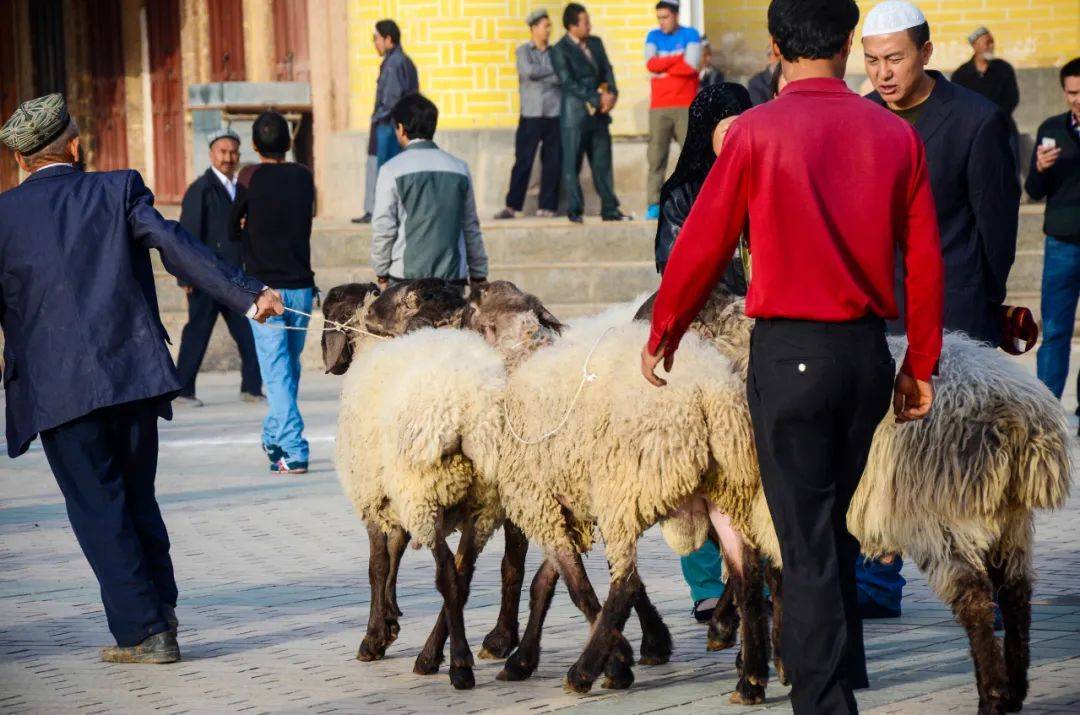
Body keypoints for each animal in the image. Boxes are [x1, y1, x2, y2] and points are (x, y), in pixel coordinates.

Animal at [635, 287, 1067, 715]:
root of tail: (1021, 421)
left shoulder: (765, 502)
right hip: (1007, 516)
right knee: (1015, 592)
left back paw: (991, 697)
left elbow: (758, 580)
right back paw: (1016, 689)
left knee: (976, 598)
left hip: (939, 516)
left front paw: (757, 670)